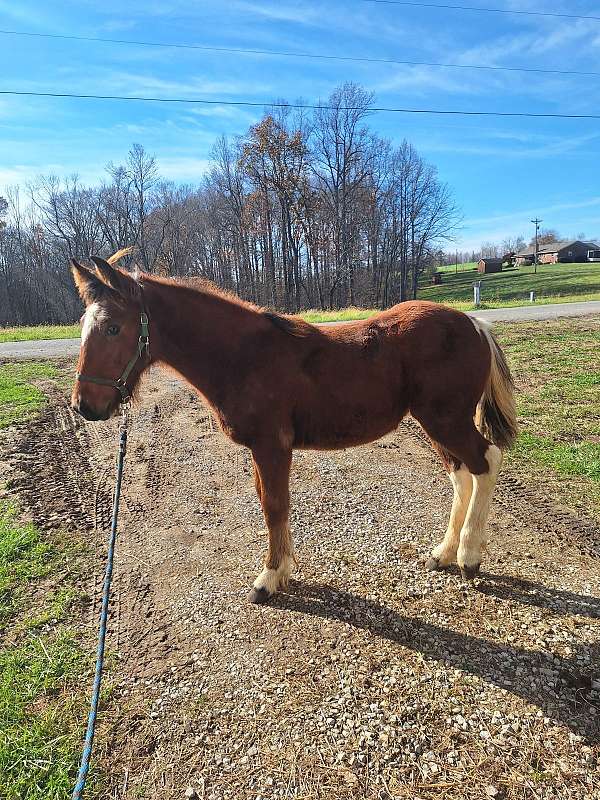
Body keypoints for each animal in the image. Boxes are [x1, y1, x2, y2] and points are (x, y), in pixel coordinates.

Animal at [70, 248, 516, 600]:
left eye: (113, 327)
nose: (85, 406)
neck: (245, 356)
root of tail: (475, 324)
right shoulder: (260, 449)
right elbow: (269, 504)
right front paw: (282, 569)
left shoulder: (272, 446)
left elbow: (274, 506)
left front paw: (268, 579)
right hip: (435, 423)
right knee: (461, 474)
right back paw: (443, 553)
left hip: (446, 419)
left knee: (486, 461)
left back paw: (468, 557)